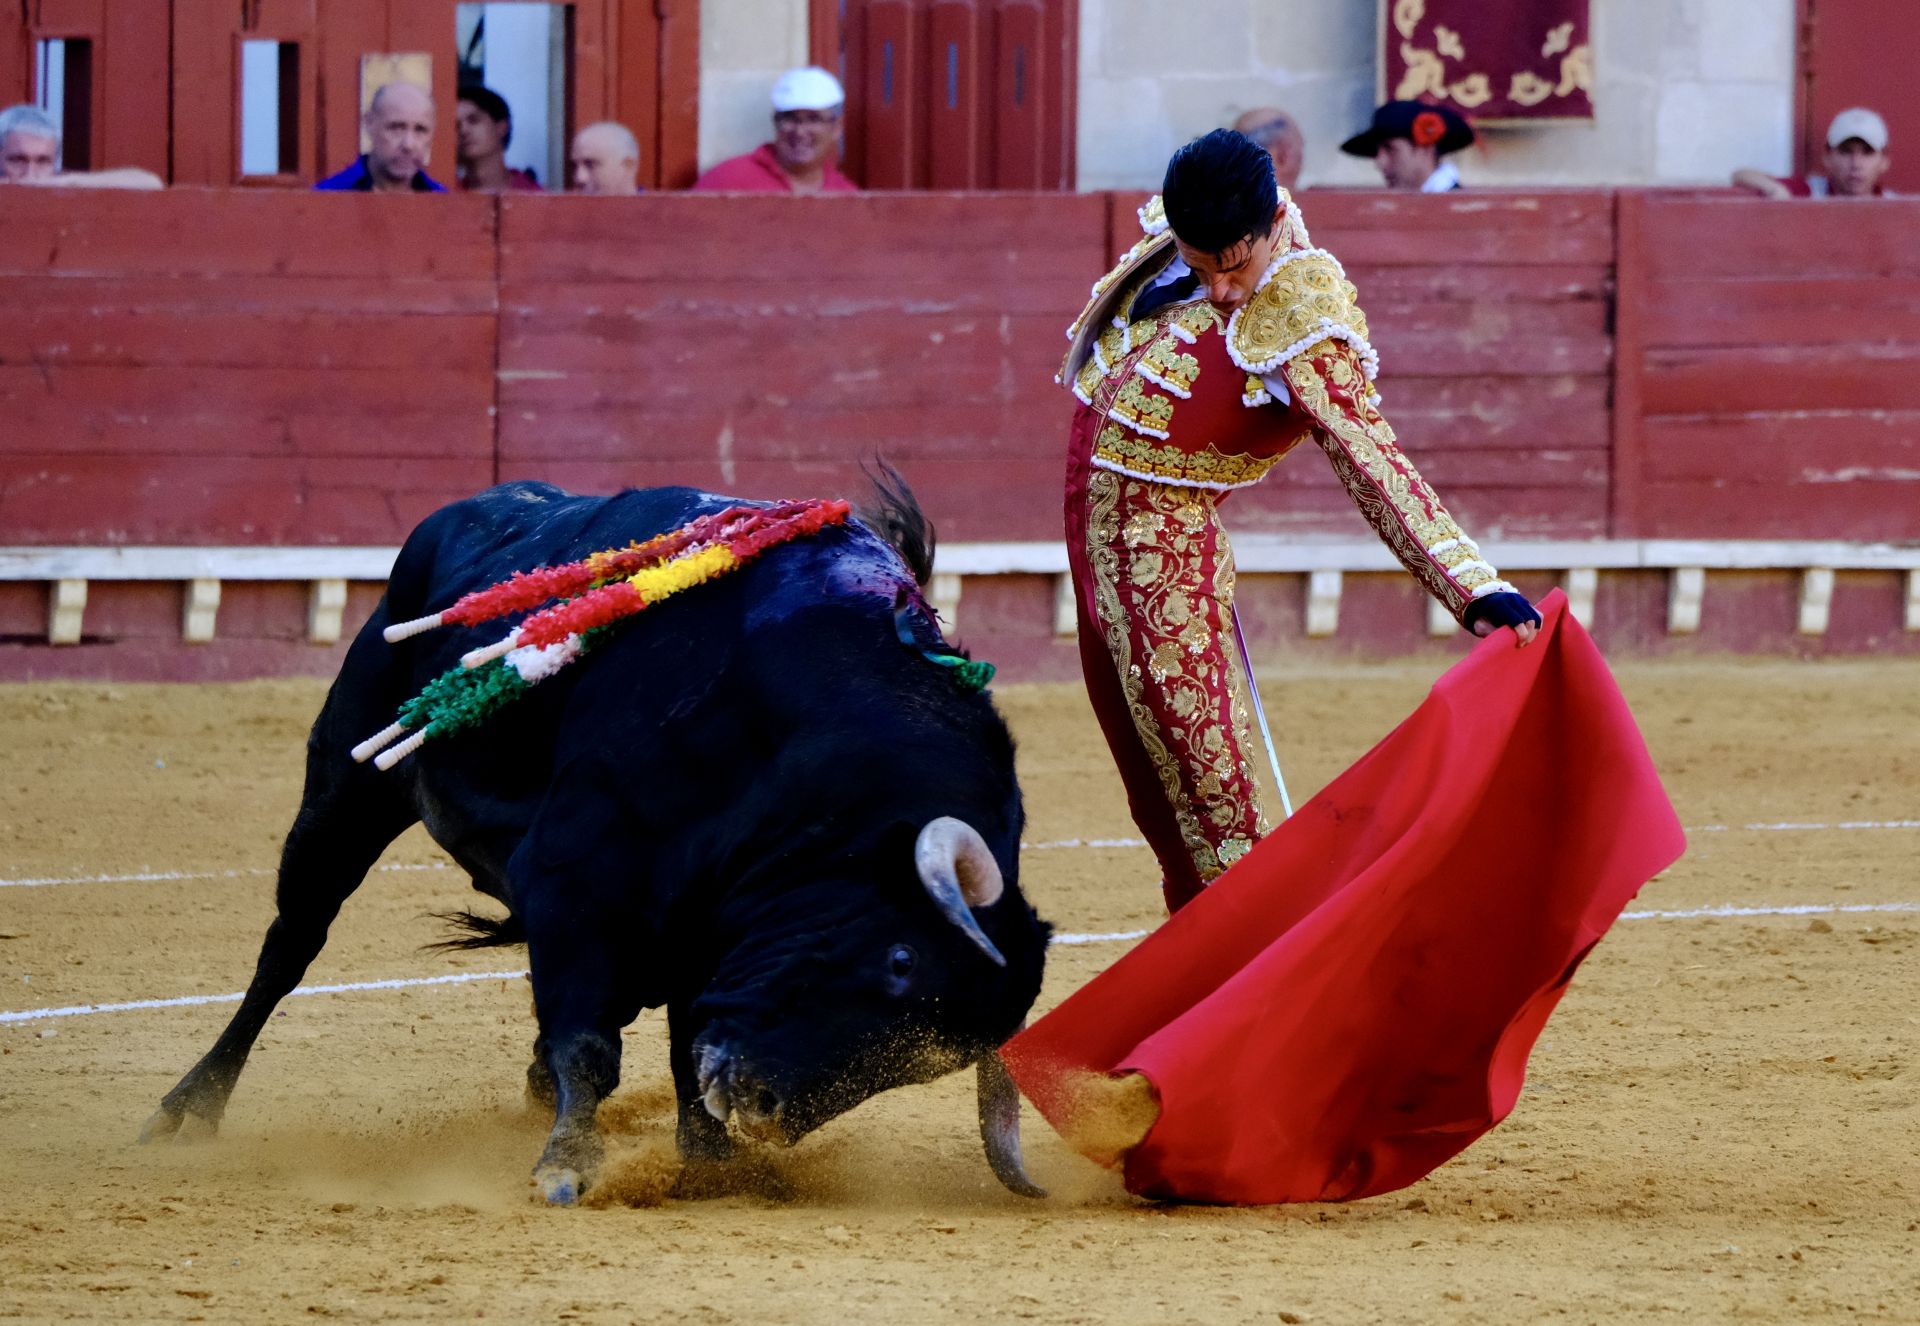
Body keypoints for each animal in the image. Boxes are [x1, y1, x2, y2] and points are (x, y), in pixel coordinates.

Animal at [144, 485, 1059, 1205]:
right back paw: (188, 1108)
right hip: (345, 784)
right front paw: (568, 1166)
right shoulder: (578, 876)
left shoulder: (713, 928)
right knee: (291, 944)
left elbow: (682, 1047)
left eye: (933, 1060)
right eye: (900, 961)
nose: (761, 1107)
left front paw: (711, 1167)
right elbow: (590, 1041)